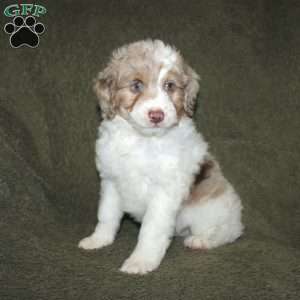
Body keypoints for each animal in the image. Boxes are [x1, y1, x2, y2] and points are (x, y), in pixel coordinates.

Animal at [78, 39, 243, 274]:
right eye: (136, 85)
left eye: (170, 86)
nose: (157, 115)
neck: (142, 140)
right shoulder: (111, 181)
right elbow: (107, 215)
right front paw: (98, 240)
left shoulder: (164, 191)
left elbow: (151, 229)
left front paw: (141, 261)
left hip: (212, 208)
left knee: (228, 232)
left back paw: (201, 240)